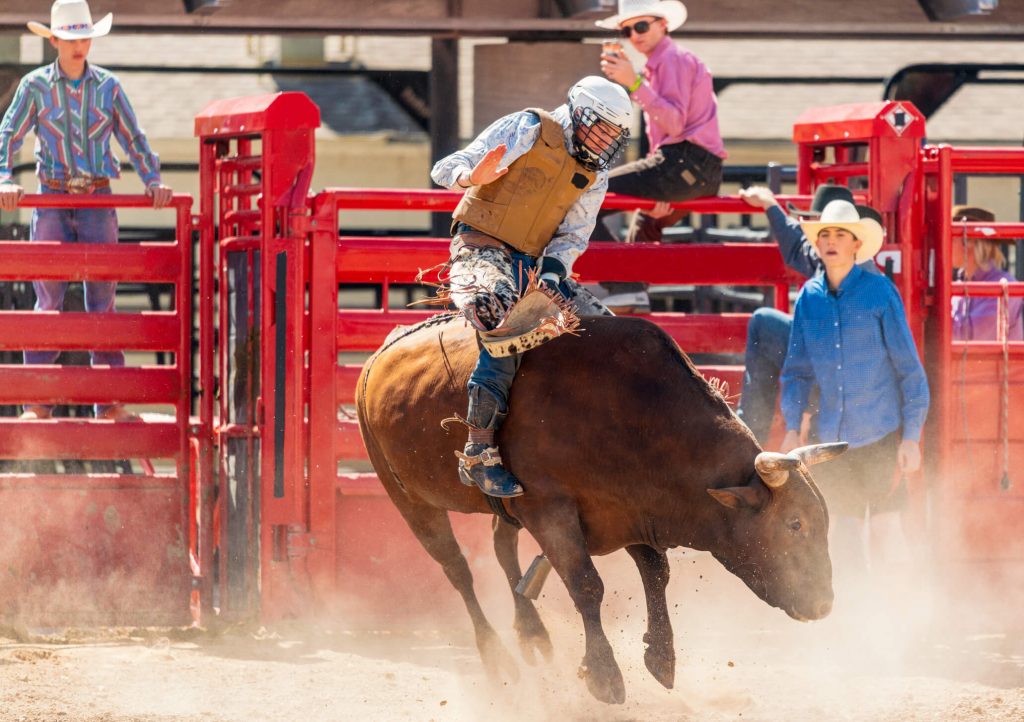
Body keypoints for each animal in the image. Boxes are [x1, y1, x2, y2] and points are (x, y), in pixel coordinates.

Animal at [356, 313, 843, 700]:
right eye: (795, 524)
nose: (823, 604)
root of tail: (378, 356)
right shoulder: (550, 510)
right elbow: (587, 585)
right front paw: (604, 675)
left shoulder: (634, 510)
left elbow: (657, 575)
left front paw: (661, 656)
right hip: (406, 497)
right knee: (457, 568)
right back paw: (496, 657)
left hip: (503, 504)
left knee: (501, 547)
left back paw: (532, 632)